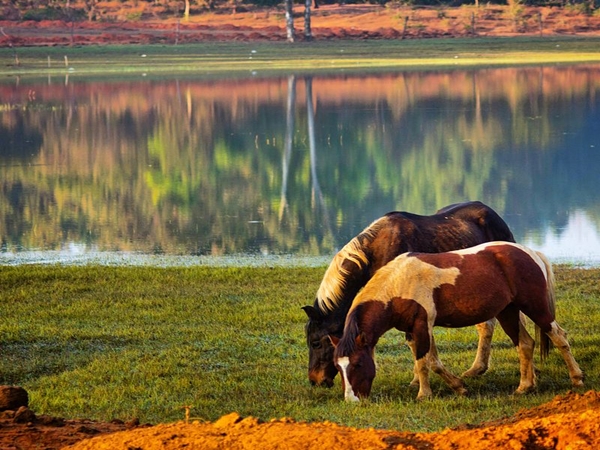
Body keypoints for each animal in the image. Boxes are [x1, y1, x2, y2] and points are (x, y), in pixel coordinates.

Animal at [302, 200, 512, 386]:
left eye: (316, 343)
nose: (315, 380)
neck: (376, 251)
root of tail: (490, 212)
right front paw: (417, 380)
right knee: (485, 325)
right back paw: (477, 368)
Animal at [330, 243, 584, 400]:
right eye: (338, 367)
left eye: (357, 364)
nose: (352, 400)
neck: (397, 285)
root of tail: (530, 252)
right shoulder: (417, 330)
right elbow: (433, 362)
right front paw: (459, 387)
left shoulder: (421, 326)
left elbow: (423, 363)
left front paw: (424, 395)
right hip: (508, 312)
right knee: (525, 344)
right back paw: (524, 387)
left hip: (536, 308)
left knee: (558, 336)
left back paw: (577, 378)